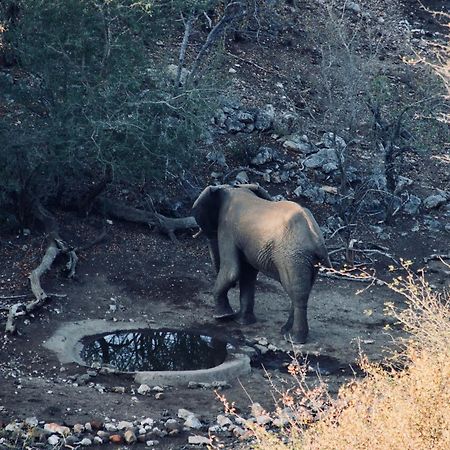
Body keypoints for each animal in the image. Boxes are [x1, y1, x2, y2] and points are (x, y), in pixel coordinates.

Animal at [191, 185, 330, 342]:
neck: (230, 188)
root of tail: (316, 237)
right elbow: (247, 275)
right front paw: (242, 322)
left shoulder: (227, 229)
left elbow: (232, 271)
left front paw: (222, 317)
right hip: (308, 260)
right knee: (301, 291)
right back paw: (285, 332)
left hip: (292, 257)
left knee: (296, 292)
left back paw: (293, 339)